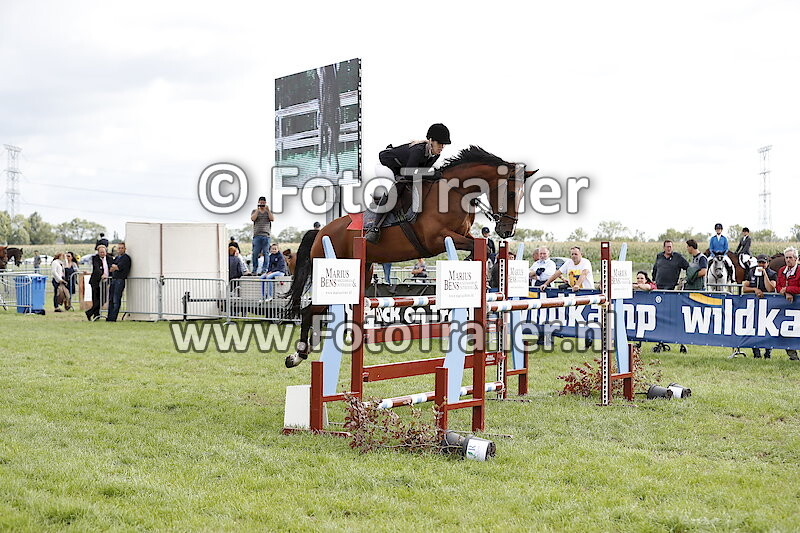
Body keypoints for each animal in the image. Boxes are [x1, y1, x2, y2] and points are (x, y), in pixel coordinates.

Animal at [285, 145, 536, 368]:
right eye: (510, 193)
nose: (507, 231)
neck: (454, 192)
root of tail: (321, 232)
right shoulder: (437, 239)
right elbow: (476, 245)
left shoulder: (461, 234)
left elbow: (480, 246)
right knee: (308, 311)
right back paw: (297, 355)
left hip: (361, 274)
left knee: (312, 311)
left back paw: (302, 353)